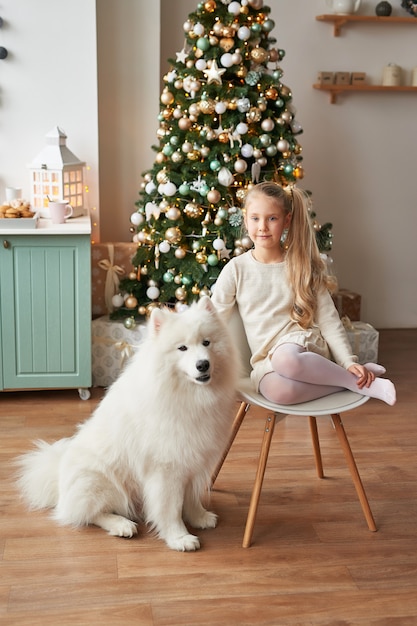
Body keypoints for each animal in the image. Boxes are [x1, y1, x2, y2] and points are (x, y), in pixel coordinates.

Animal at [16, 294, 237, 548]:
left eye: (207, 343)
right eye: (182, 348)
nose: (203, 364)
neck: (188, 395)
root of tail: (58, 480)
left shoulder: (192, 459)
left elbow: (190, 497)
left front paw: (199, 516)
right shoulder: (166, 468)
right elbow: (170, 507)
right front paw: (179, 537)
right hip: (102, 482)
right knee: (89, 513)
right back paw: (121, 525)